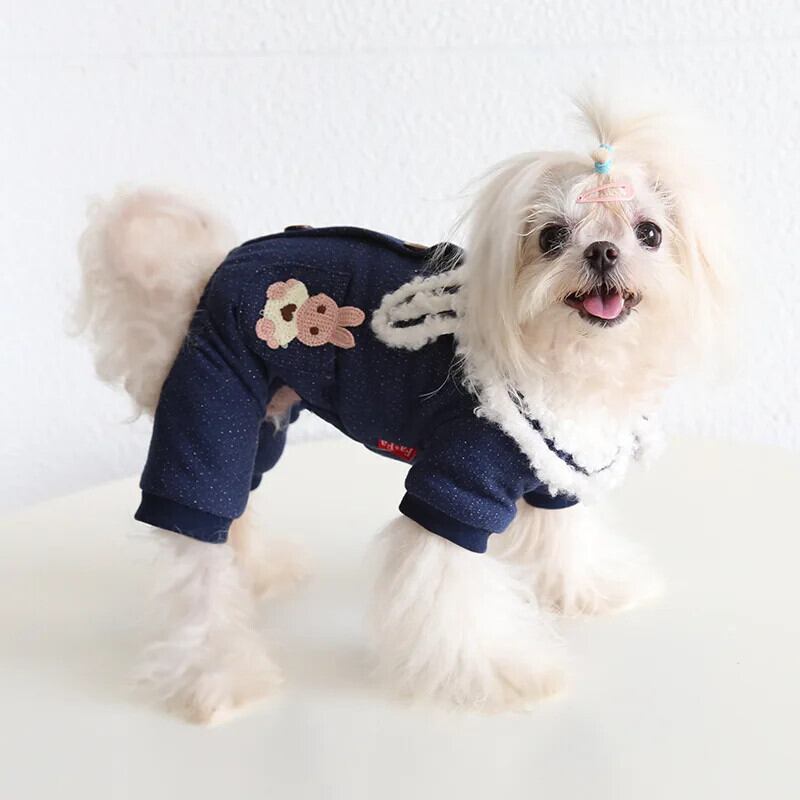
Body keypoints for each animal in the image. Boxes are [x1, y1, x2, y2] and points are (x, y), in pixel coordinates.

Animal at [75, 99, 727, 723]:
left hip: (257, 418)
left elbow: (564, 539)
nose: (602, 251)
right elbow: (451, 595)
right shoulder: (457, 481)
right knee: (197, 547)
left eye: (649, 233)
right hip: (210, 402)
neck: (569, 359)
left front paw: (591, 590)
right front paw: (505, 674)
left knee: (234, 507)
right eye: (549, 238)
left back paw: (258, 572)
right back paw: (218, 677)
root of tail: (209, 272)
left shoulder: (553, 463)